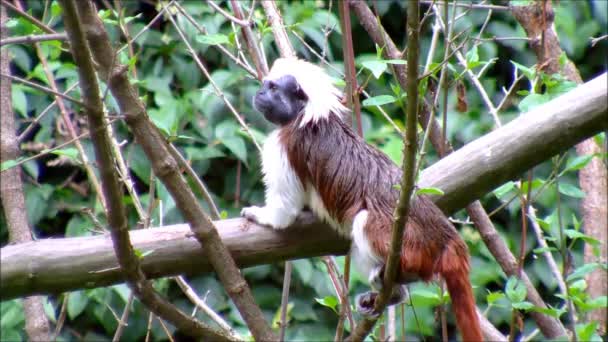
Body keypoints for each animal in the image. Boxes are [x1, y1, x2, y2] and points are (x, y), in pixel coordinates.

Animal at [242, 57, 484, 340]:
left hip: (411, 245)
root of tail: (447, 237)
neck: (305, 115)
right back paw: (396, 293)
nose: (259, 93)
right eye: (265, 85)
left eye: (272, 88)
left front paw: (260, 215)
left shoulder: (283, 144)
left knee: (363, 220)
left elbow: (285, 212)